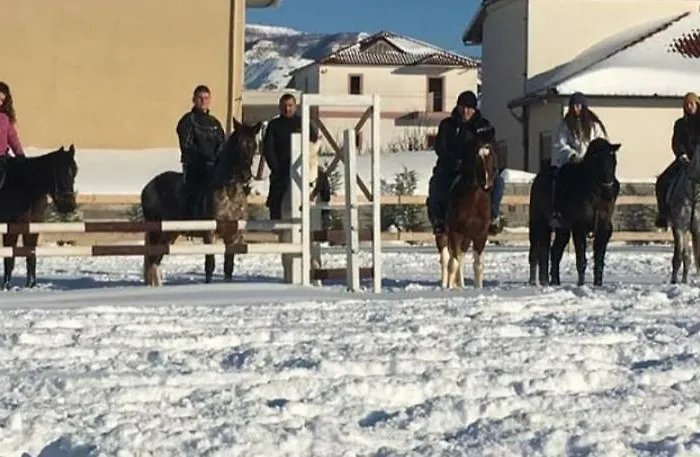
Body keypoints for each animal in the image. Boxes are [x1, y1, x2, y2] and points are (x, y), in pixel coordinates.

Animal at [0, 145, 78, 289]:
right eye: (61, 172)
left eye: (75, 171)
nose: (69, 206)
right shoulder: (11, 226)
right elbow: (9, 258)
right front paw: (6, 286)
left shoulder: (33, 225)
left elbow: (31, 255)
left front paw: (31, 285)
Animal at [140, 118, 262, 286]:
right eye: (238, 143)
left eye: (254, 146)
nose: (246, 175)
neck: (229, 192)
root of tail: (147, 187)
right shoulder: (209, 233)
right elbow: (210, 265)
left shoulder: (232, 235)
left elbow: (228, 267)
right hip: (158, 232)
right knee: (152, 261)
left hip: (170, 234)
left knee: (155, 261)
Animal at [435, 140, 497, 289]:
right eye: (477, 160)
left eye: (492, 158)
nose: (486, 184)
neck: (473, 201)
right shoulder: (454, 232)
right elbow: (453, 264)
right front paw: (449, 288)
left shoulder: (480, 235)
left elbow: (478, 266)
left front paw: (477, 288)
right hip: (443, 234)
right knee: (446, 259)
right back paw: (445, 284)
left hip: (466, 237)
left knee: (460, 258)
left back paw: (460, 285)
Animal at [528, 138, 621, 287]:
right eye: (597, 159)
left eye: (613, 158)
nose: (609, 187)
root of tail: (537, 179)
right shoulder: (578, 228)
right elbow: (581, 259)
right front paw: (581, 284)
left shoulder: (603, 228)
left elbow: (599, 258)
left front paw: (598, 284)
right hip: (538, 223)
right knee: (537, 251)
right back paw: (537, 281)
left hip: (562, 230)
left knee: (553, 251)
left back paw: (554, 281)